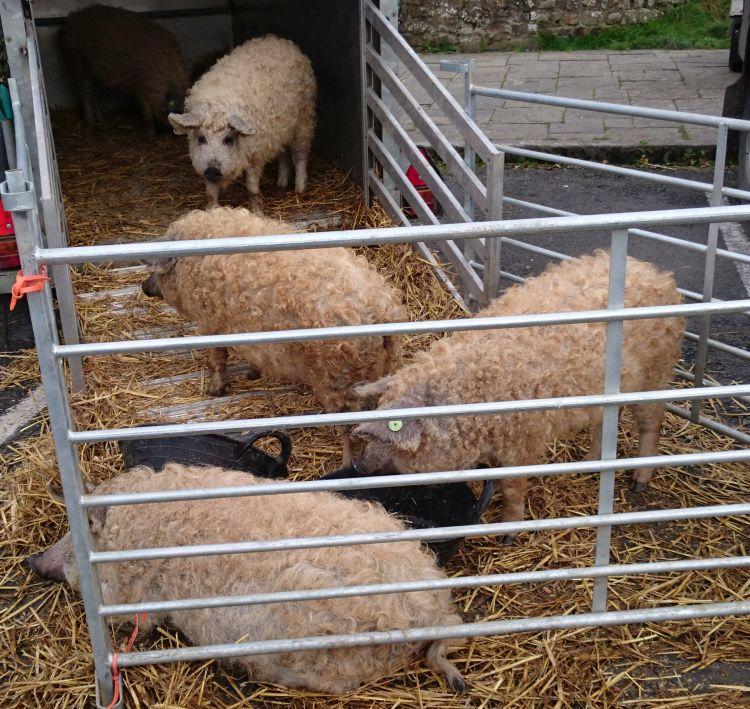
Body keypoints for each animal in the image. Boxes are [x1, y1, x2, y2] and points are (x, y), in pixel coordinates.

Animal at [59, 5, 189, 141]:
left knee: (95, 93)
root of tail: (72, 17)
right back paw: (88, 128)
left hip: (95, 73)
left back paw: (101, 119)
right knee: (85, 95)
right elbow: (147, 113)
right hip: (76, 64)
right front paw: (150, 137)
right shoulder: (140, 87)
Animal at [140, 207, 407, 460]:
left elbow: (217, 357)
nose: (144, 287)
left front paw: (214, 392)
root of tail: (380, 312)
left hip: (338, 383)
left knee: (351, 432)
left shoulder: (210, 323)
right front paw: (252, 375)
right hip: (379, 373)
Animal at [168, 35, 317, 213]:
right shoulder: (203, 162)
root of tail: (281, 41)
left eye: (228, 139)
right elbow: (210, 194)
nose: (213, 170)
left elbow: (252, 188)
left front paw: (258, 214)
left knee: (300, 156)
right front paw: (212, 212)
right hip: (282, 131)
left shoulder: (256, 154)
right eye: (201, 139)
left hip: (304, 122)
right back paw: (281, 185)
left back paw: (299, 190)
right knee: (283, 153)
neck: (218, 103)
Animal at [350, 251, 685, 542]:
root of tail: (659, 275)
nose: (361, 466)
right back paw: (588, 464)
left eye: (391, 441)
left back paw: (639, 483)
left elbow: (513, 487)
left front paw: (508, 535)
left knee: (652, 422)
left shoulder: (521, 443)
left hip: (655, 373)